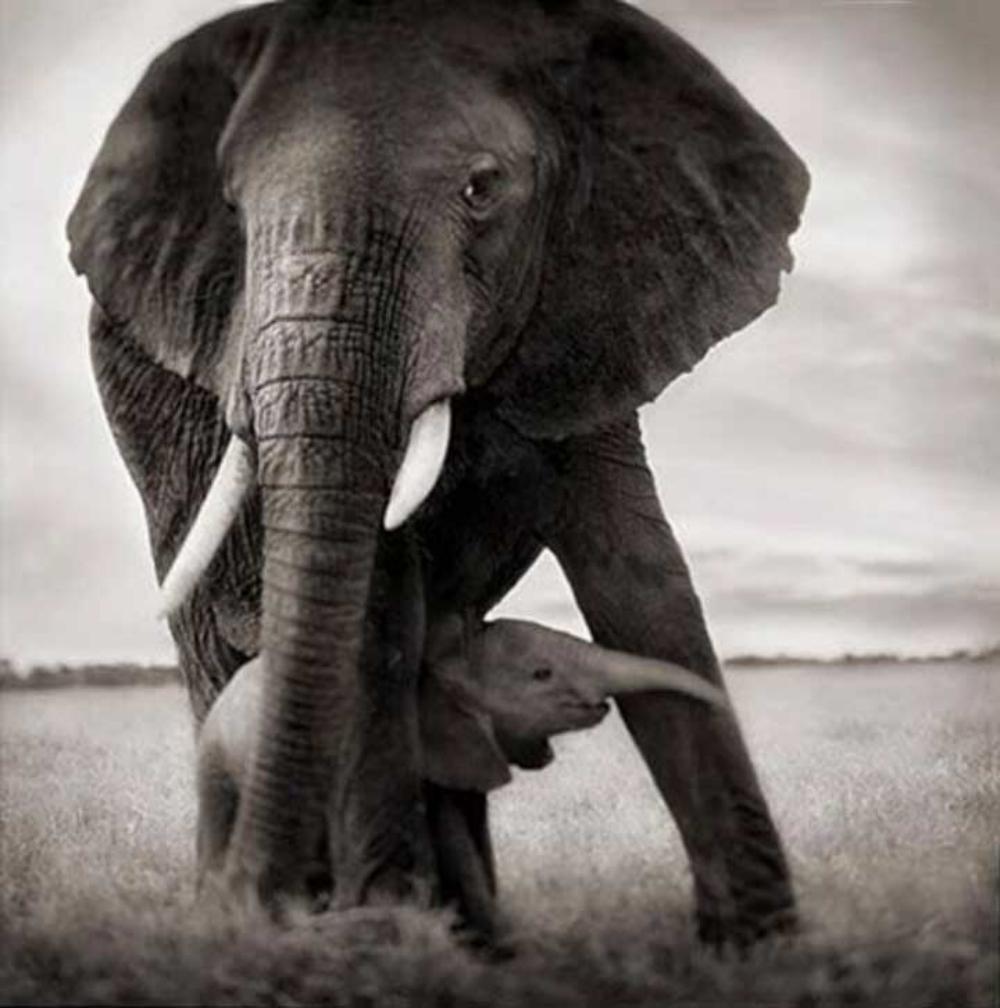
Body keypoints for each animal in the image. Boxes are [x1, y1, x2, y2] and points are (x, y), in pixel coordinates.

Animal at [196, 616, 728, 937]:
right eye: (541, 674)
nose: (725, 707)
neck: (436, 664)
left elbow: (467, 830)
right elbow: (452, 841)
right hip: (218, 758)